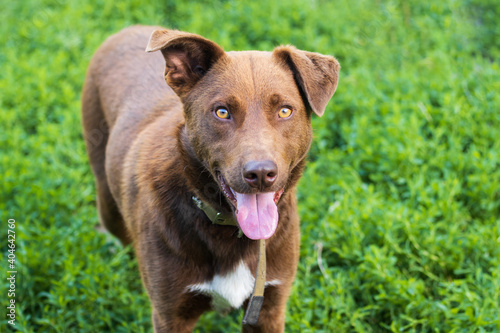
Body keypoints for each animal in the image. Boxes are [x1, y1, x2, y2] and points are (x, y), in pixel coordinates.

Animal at [82, 24, 340, 330]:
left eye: (285, 110)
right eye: (222, 112)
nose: (261, 174)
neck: (230, 229)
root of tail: (128, 29)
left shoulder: (268, 308)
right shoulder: (170, 315)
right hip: (107, 196)